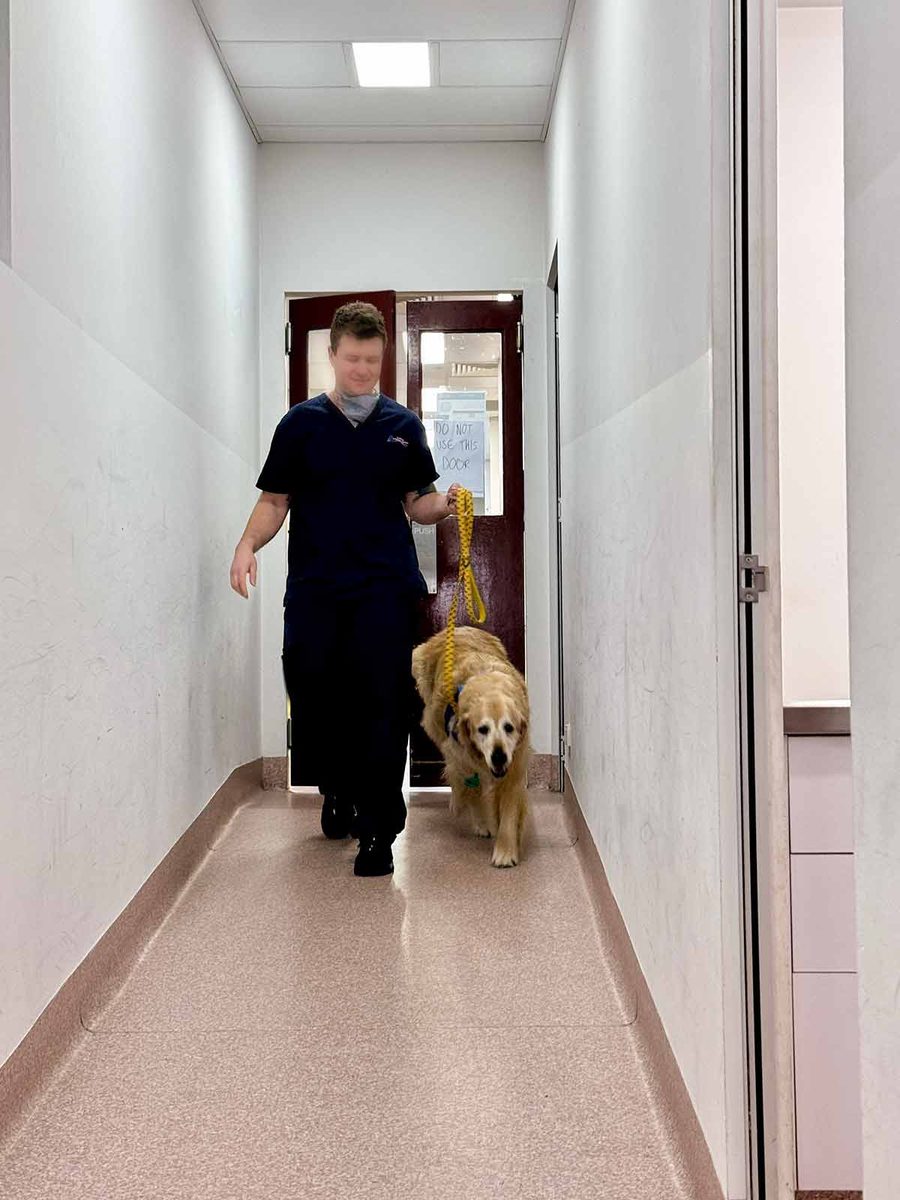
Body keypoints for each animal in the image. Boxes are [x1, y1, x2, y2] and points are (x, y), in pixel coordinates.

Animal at [411, 626, 531, 867]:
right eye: (482, 729)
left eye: (509, 727)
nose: (498, 757)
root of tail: (458, 627)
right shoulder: (461, 755)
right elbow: (469, 787)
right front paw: (483, 821)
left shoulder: (515, 764)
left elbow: (509, 807)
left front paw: (505, 849)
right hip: (432, 717)